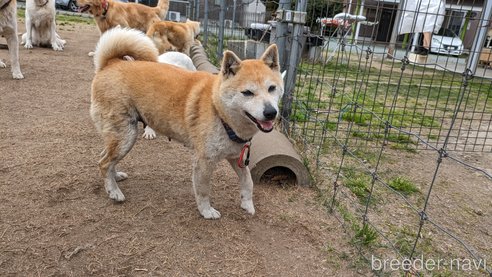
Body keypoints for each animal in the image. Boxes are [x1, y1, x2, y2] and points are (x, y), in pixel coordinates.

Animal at [90, 27, 282, 218]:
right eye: (247, 93)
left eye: (272, 88)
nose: (271, 113)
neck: (218, 109)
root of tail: (111, 63)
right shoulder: (204, 161)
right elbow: (203, 190)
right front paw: (206, 211)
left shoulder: (236, 157)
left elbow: (248, 182)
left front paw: (247, 204)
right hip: (126, 136)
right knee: (103, 163)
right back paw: (114, 191)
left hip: (120, 137)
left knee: (104, 157)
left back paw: (115, 177)